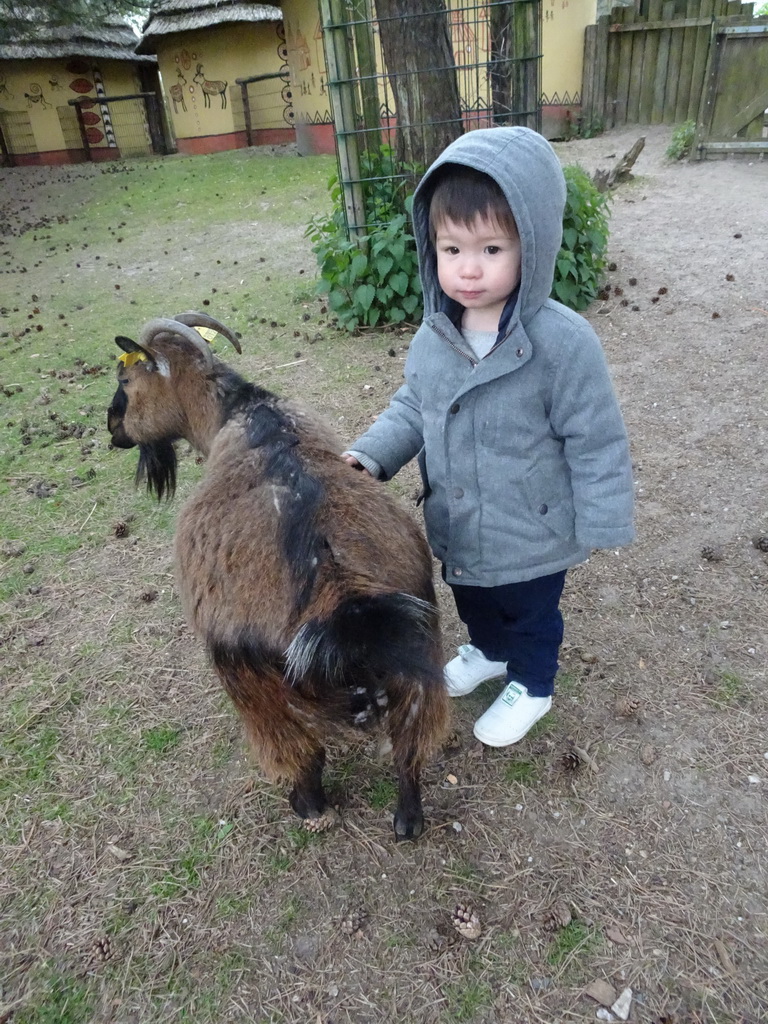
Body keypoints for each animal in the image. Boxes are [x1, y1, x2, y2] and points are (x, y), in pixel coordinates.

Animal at [105, 313, 448, 839]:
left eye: (126, 380)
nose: (112, 427)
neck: (241, 414)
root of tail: (342, 596)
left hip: (253, 677)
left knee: (300, 748)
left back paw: (310, 806)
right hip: (418, 648)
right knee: (411, 741)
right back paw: (408, 818)